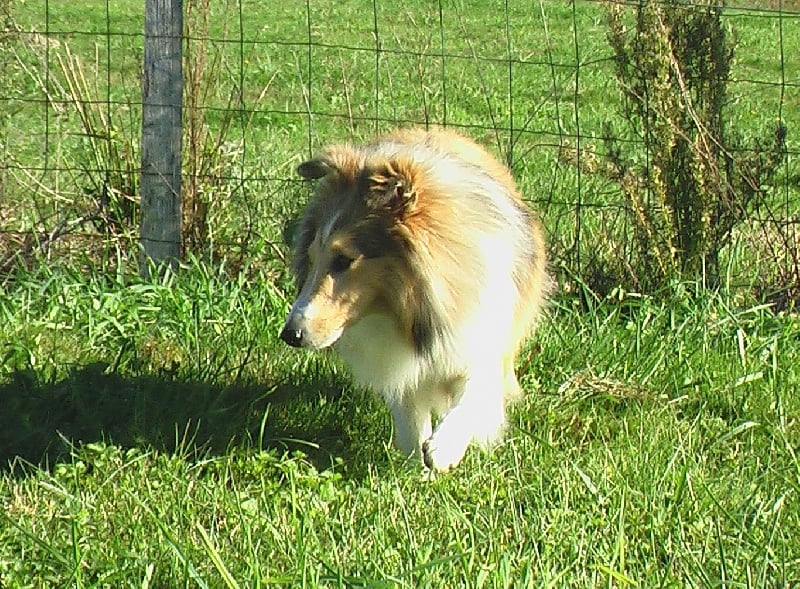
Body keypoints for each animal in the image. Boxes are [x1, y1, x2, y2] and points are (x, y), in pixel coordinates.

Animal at [280, 128, 550, 471]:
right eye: (312, 257)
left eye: (344, 260)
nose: (290, 334)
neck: (408, 307)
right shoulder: (397, 358)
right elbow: (410, 416)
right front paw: (415, 468)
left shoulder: (481, 338)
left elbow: (474, 393)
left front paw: (444, 448)